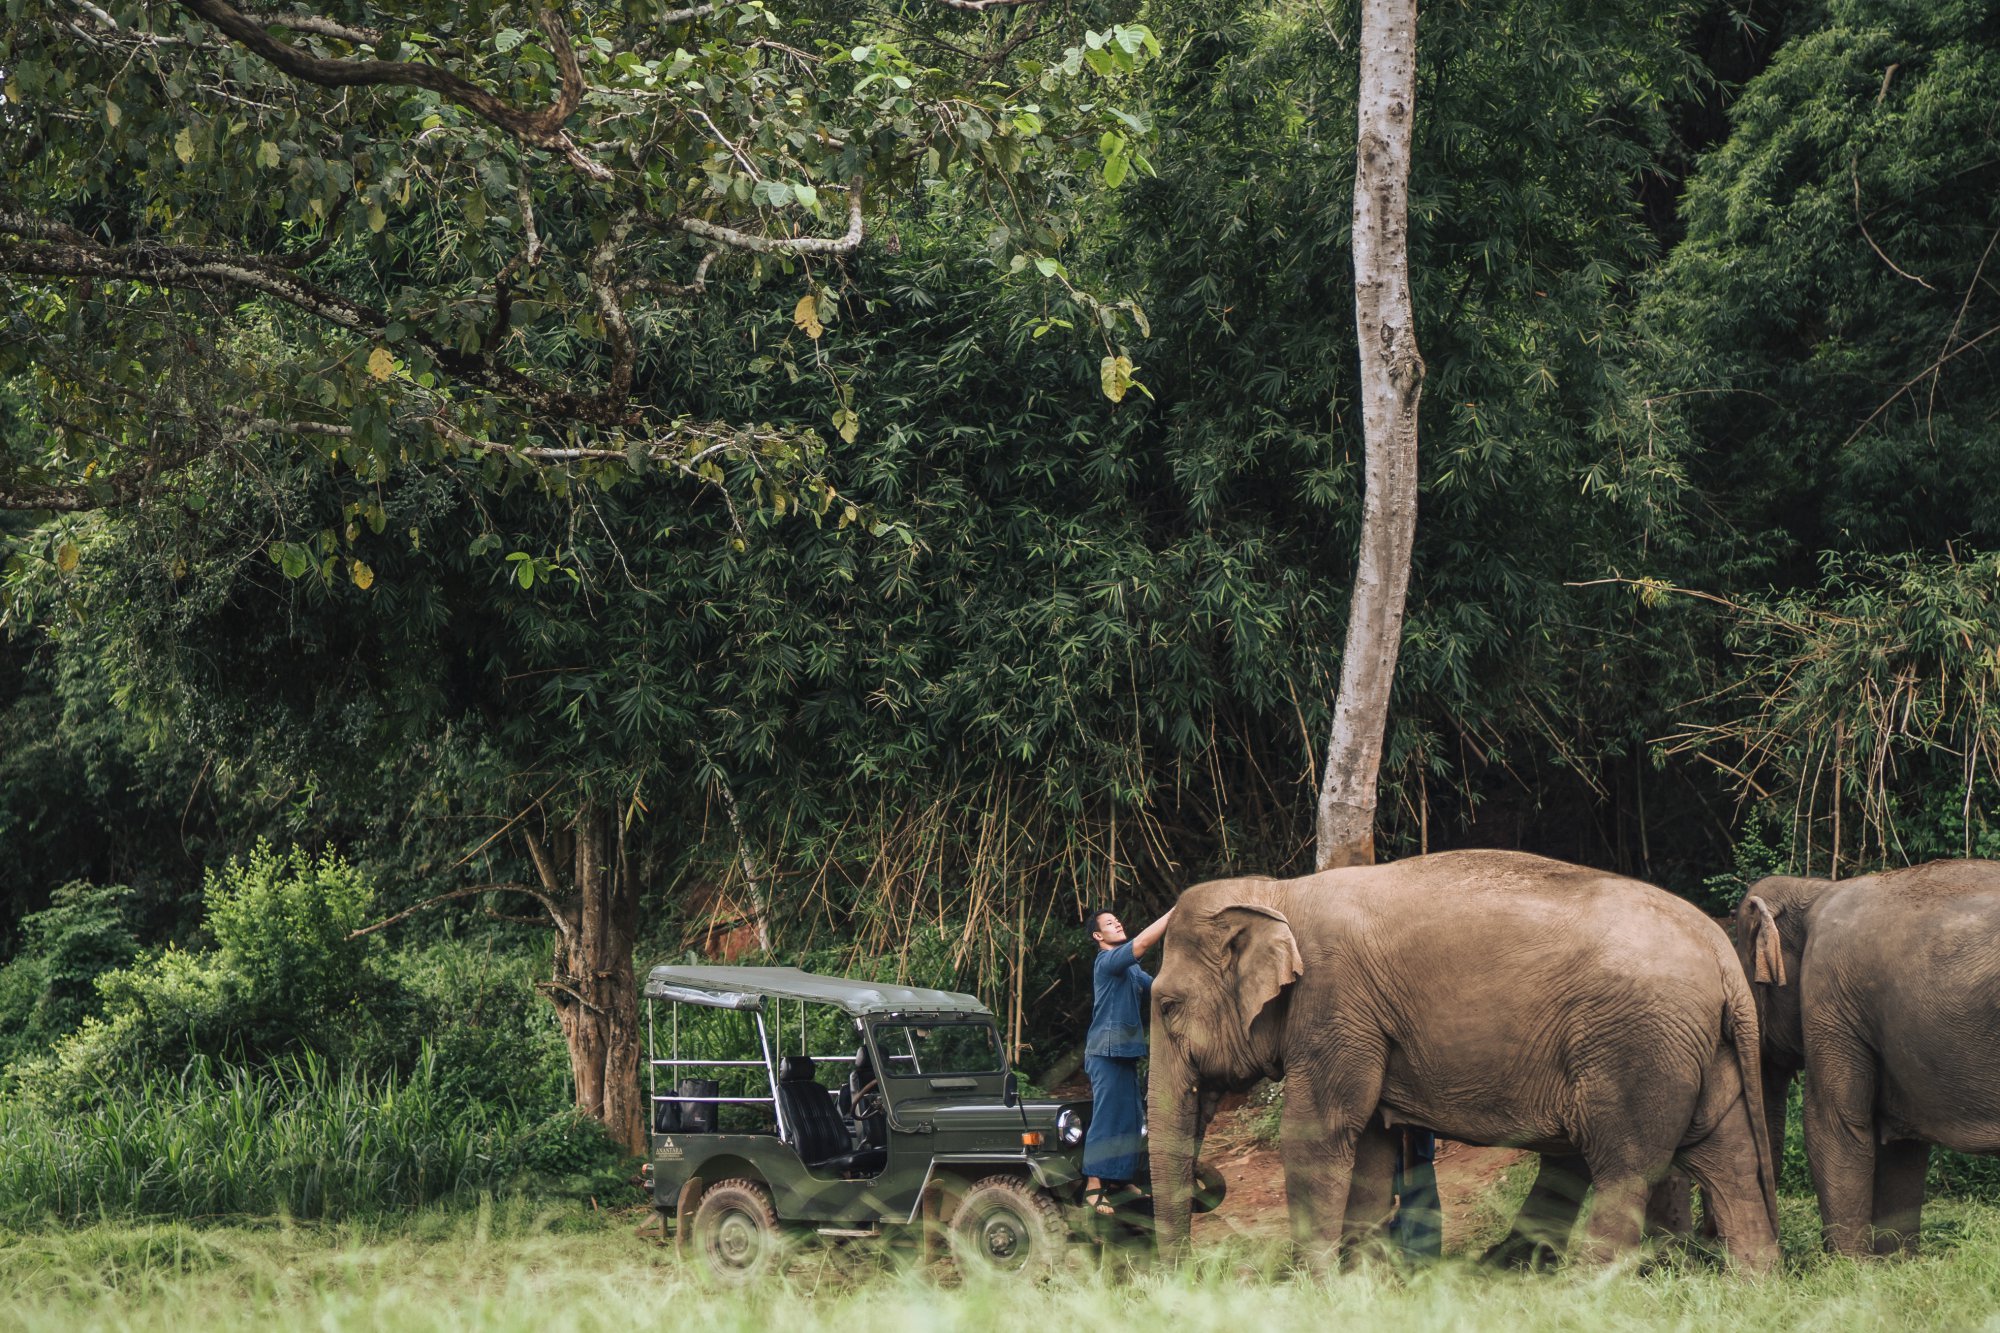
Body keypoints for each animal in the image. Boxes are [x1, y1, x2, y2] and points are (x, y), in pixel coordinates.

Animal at [1152, 844, 1776, 1272]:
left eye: (1165, 1005)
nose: (1185, 1275)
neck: (1279, 894)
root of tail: (1723, 954)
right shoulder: (1363, 1021)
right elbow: (1371, 1145)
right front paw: (1361, 1282)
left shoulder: (1334, 1005)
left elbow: (1317, 1133)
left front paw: (1316, 1284)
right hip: (1704, 1051)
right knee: (1731, 1163)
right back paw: (1752, 1283)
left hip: (1634, 1047)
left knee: (1623, 1166)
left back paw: (1581, 1289)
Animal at [1736, 856, 2000, 1248]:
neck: (1813, 890)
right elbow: (1902, 1144)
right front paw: (1895, 1259)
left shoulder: (1829, 992)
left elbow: (1834, 1122)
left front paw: (1848, 1262)